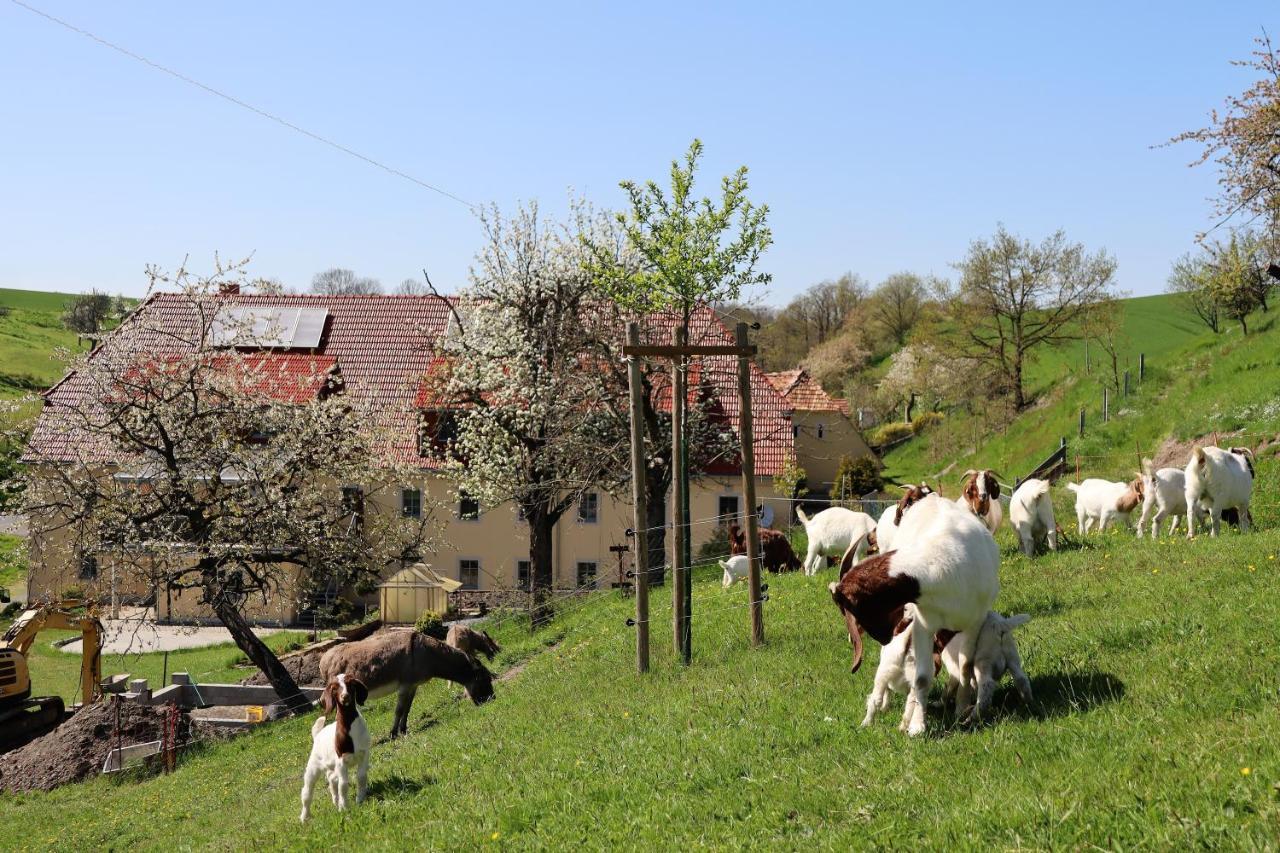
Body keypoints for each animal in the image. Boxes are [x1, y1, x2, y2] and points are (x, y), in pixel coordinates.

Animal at [302, 671, 373, 819]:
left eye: (351, 684)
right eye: (334, 688)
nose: (344, 696)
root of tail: (318, 734)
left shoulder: (365, 753)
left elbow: (361, 776)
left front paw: (360, 799)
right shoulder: (341, 760)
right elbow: (344, 785)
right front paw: (345, 807)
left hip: (332, 766)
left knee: (332, 779)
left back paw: (336, 802)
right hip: (314, 765)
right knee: (307, 791)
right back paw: (304, 817)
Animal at [320, 625, 494, 737]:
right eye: (485, 679)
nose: (492, 699)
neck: (426, 653)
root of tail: (323, 660)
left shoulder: (413, 686)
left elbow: (407, 708)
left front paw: (403, 730)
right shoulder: (404, 685)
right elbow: (399, 709)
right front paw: (393, 733)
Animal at [829, 494, 998, 732]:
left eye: (845, 607)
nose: (885, 637)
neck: (943, 563)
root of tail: (932, 497)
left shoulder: (974, 622)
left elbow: (965, 667)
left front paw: (961, 709)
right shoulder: (923, 624)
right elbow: (922, 678)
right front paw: (917, 726)